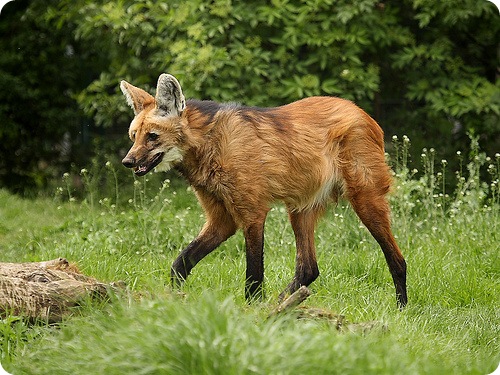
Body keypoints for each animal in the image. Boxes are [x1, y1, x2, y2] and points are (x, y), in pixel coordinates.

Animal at [120, 73, 406, 308]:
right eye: (134, 136)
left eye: (153, 136)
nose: (127, 162)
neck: (209, 144)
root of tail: (361, 112)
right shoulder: (222, 219)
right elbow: (180, 262)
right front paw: (171, 300)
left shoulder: (252, 213)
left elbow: (253, 274)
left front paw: (252, 310)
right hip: (300, 207)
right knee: (308, 269)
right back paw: (282, 304)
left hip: (364, 199)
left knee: (397, 259)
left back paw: (401, 309)